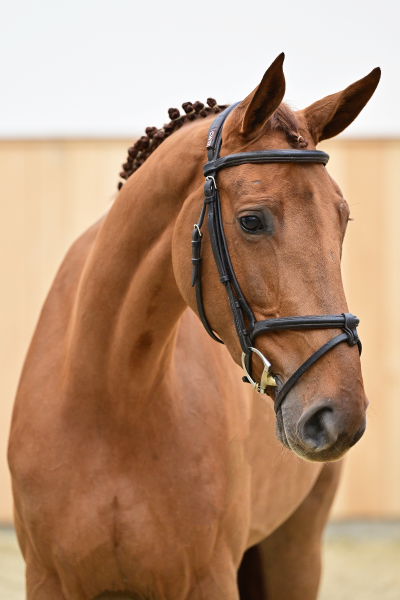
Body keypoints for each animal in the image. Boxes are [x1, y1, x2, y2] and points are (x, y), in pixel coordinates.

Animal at [7, 54, 380, 596]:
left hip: (296, 549)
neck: (111, 400)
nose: (339, 414)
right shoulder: (48, 580)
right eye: (251, 221)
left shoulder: (209, 579)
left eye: (343, 219)